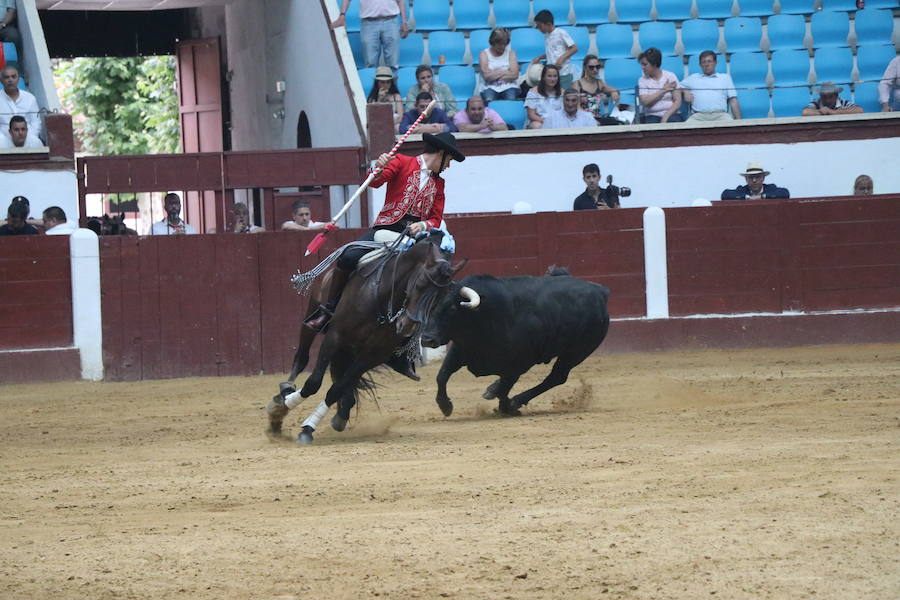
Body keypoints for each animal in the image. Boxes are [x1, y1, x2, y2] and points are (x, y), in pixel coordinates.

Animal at [268, 232, 464, 442]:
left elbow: (337, 388)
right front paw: (283, 407)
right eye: (419, 284)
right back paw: (285, 390)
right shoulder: (335, 337)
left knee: (342, 378)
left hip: (352, 349)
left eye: (440, 296)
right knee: (302, 356)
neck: (383, 297)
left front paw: (308, 427)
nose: (406, 326)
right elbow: (314, 382)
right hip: (313, 314)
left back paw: (341, 413)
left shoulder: (373, 355)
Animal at [422, 272, 612, 418]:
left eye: (452, 308)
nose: (427, 339)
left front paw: (507, 407)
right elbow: (442, 375)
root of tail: (599, 290)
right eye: (428, 307)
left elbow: (505, 387)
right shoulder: (459, 350)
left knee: (556, 377)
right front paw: (445, 406)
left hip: (576, 352)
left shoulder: (519, 365)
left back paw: (514, 400)